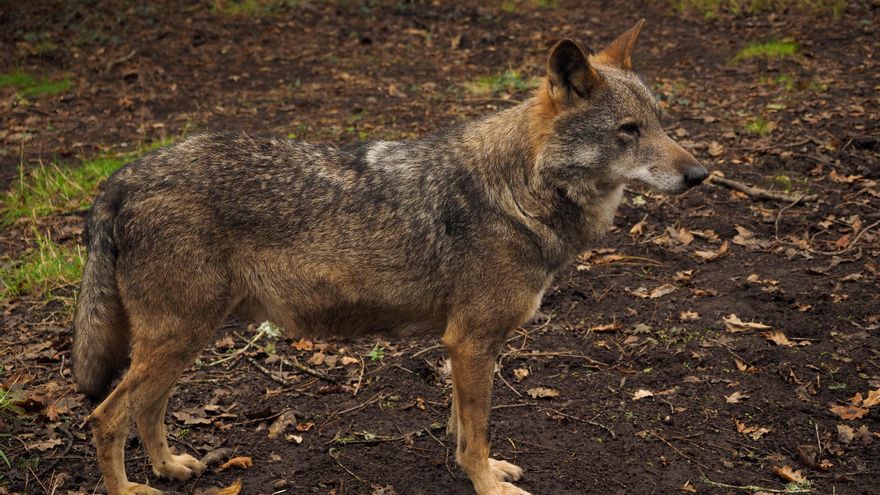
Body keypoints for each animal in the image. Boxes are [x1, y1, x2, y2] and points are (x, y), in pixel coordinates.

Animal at [72, 20, 707, 495]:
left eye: (661, 124)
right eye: (628, 131)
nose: (700, 174)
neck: (520, 190)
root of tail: (121, 177)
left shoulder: (464, 345)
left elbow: (462, 428)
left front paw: (481, 471)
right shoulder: (470, 341)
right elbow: (476, 431)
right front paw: (488, 485)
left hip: (185, 340)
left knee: (146, 411)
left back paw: (170, 468)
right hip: (179, 336)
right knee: (106, 417)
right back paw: (130, 488)